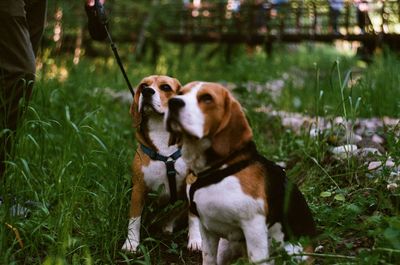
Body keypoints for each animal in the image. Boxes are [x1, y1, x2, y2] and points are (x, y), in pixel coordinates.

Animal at [120, 75, 202, 252]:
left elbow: (193, 217)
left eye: (165, 87)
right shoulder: (138, 188)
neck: (160, 132)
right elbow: (134, 218)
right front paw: (131, 242)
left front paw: (195, 240)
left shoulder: (191, 183)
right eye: (143, 85)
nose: (147, 91)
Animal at [164, 81, 318, 262]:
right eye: (180, 93)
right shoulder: (207, 230)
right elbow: (208, 258)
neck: (218, 170)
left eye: (207, 98)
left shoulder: (254, 227)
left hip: (291, 253)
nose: (173, 102)